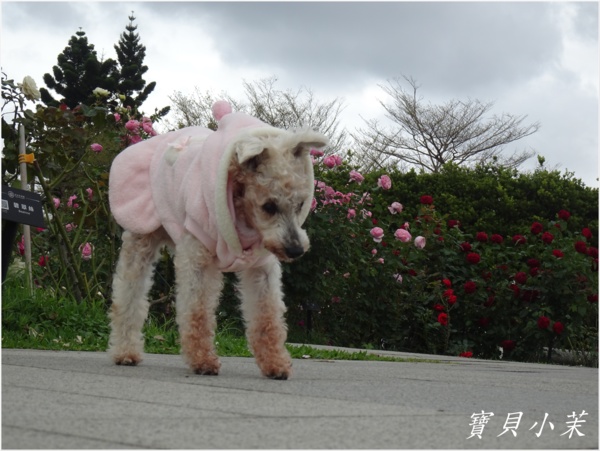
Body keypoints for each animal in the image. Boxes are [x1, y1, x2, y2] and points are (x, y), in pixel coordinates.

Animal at [107, 101, 328, 379]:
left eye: (300, 204)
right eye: (268, 206)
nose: (295, 250)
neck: (243, 217)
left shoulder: (261, 268)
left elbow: (267, 315)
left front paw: (275, 363)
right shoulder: (197, 259)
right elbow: (198, 311)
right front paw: (202, 360)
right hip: (141, 234)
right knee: (128, 295)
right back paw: (125, 351)